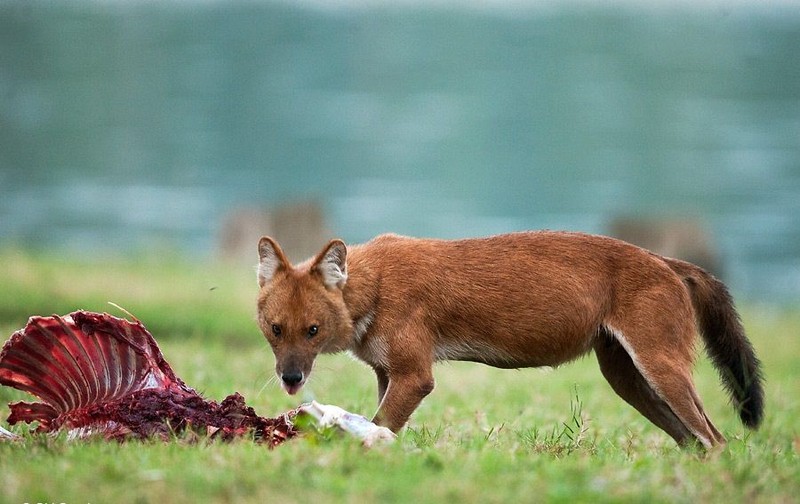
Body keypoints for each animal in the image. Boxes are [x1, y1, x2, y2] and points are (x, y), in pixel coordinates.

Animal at [255, 232, 764, 448]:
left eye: (313, 331)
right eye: (275, 330)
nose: (291, 378)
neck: (374, 286)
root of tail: (667, 261)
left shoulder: (415, 376)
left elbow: (380, 424)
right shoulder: (388, 372)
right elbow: (382, 419)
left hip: (660, 368)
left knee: (717, 439)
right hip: (629, 380)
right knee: (695, 442)